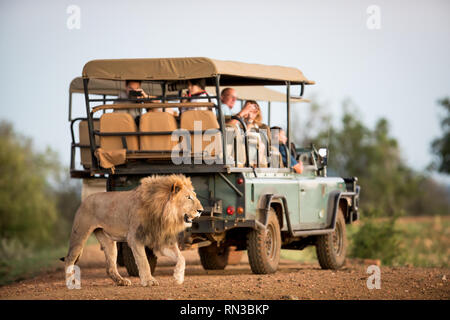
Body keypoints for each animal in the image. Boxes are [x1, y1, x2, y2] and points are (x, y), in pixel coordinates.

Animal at [62, 175, 203, 288]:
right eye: (188, 197)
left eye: (195, 196)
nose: (201, 210)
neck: (163, 213)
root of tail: (85, 199)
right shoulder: (135, 238)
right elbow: (143, 261)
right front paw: (149, 281)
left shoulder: (162, 240)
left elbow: (181, 258)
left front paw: (178, 277)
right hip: (80, 234)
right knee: (69, 259)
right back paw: (71, 282)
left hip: (108, 242)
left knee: (110, 267)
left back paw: (121, 281)